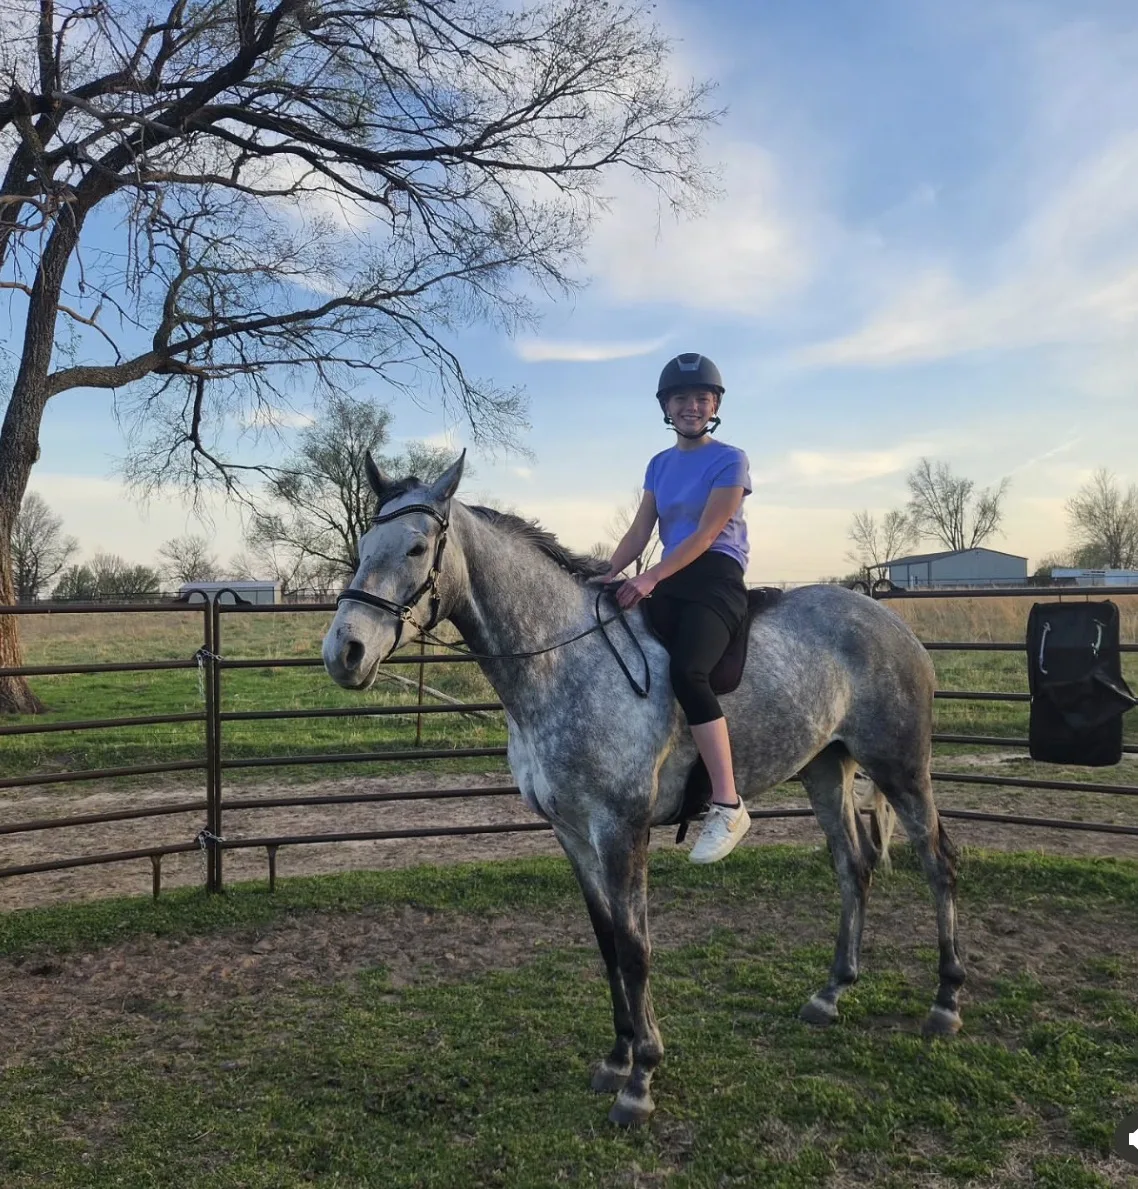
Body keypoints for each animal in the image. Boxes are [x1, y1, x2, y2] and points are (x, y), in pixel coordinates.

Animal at [321, 452, 965, 1127]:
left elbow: (636, 948)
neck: (561, 663)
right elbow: (607, 942)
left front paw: (641, 1079)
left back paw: (945, 1003)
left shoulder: (620, 830)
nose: (345, 652)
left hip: (901, 768)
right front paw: (617, 1056)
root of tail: (890, 621)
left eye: (417, 547)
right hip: (825, 768)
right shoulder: (572, 833)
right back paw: (832, 992)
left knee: (938, 863)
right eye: (364, 546)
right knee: (853, 866)